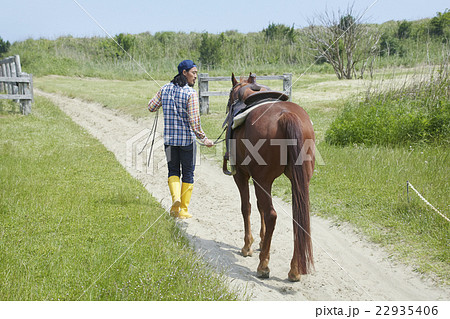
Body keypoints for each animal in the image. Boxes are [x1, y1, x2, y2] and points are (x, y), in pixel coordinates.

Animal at [223, 73, 314, 282]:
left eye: (230, 98)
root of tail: (287, 115)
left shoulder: (243, 176)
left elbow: (247, 207)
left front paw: (248, 246)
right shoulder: (259, 180)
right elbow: (259, 207)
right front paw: (262, 240)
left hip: (262, 180)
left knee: (271, 215)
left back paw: (263, 265)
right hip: (297, 181)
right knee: (297, 217)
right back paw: (295, 269)